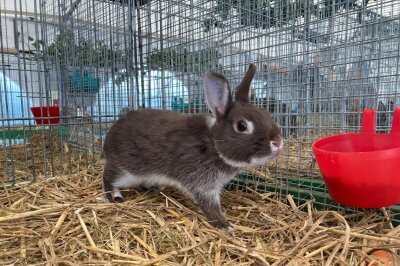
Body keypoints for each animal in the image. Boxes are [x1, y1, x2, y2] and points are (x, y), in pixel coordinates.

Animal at [101, 63, 282, 230]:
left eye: (266, 114)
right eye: (242, 126)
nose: (278, 142)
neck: (214, 145)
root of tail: (109, 138)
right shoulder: (201, 184)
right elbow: (209, 205)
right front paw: (224, 225)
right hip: (127, 170)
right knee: (108, 177)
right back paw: (115, 196)